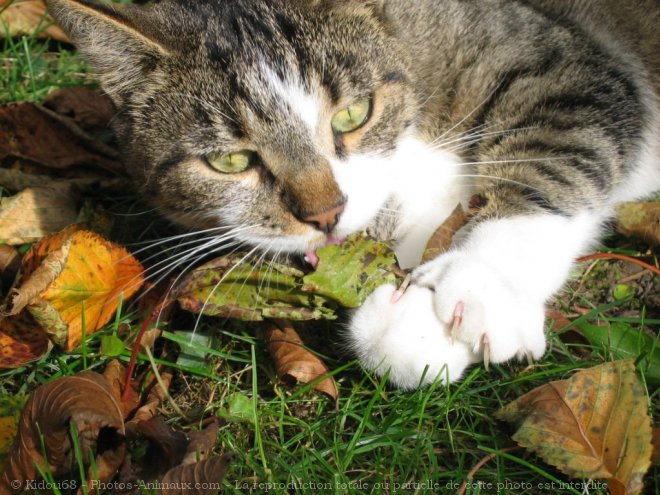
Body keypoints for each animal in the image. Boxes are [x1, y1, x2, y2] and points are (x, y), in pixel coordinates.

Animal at [46, 0, 660, 388]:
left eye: (354, 114)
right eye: (230, 161)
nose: (326, 213)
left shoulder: (572, 64)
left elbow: (559, 151)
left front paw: (486, 284)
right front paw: (408, 327)